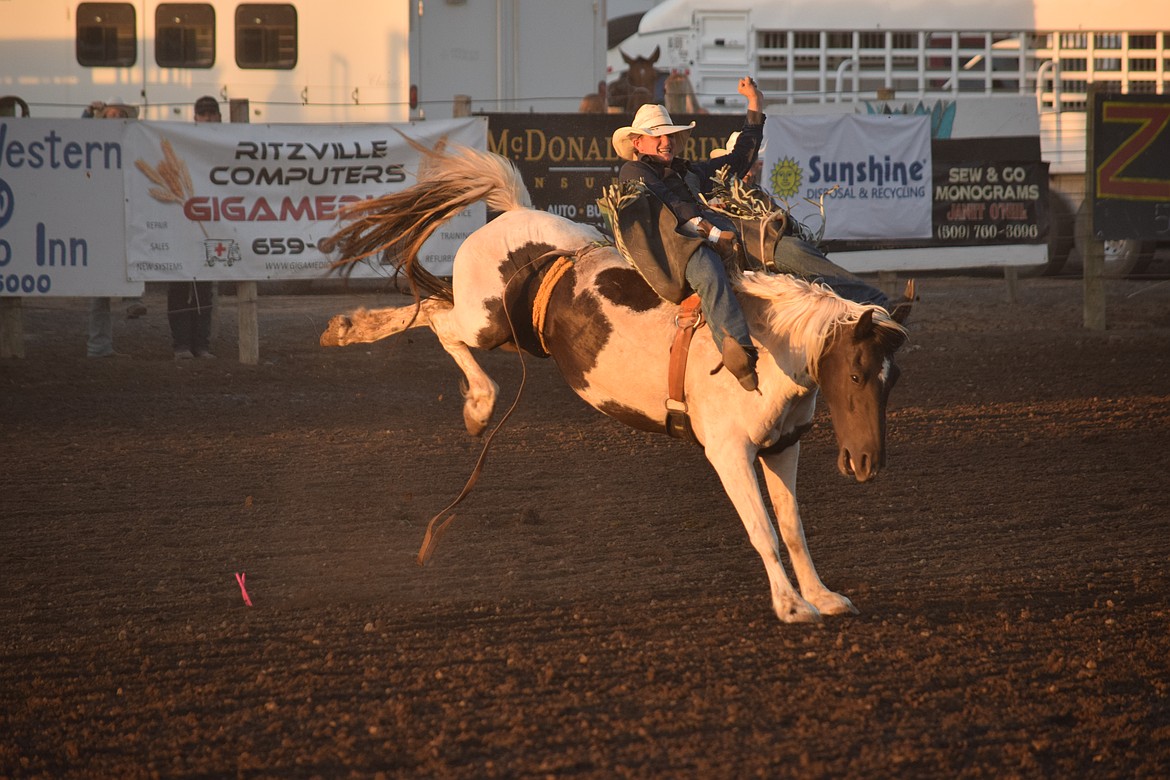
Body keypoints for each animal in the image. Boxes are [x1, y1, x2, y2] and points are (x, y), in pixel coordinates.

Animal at [320, 143, 912, 626]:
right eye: (855, 373)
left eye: (892, 381)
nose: (867, 463)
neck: (768, 347)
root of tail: (513, 212)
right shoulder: (729, 451)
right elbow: (762, 529)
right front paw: (790, 606)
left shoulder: (782, 447)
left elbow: (792, 527)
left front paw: (824, 597)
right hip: (484, 322)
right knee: (439, 319)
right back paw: (474, 404)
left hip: (519, 336)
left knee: (430, 310)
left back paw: (352, 330)